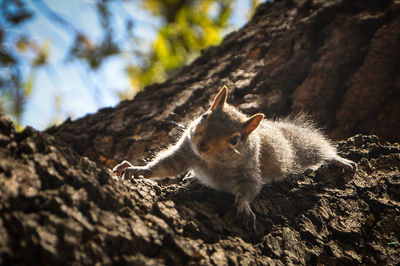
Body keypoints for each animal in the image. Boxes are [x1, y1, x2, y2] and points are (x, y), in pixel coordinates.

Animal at [112, 86, 356, 230]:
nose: (202, 145)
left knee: (319, 151)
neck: (211, 162)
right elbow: (165, 165)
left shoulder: (249, 169)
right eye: (204, 115)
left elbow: (249, 188)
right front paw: (137, 169)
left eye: (235, 140)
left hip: (299, 150)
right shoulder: (185, 151)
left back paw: (338, 160)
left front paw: (243, 206)